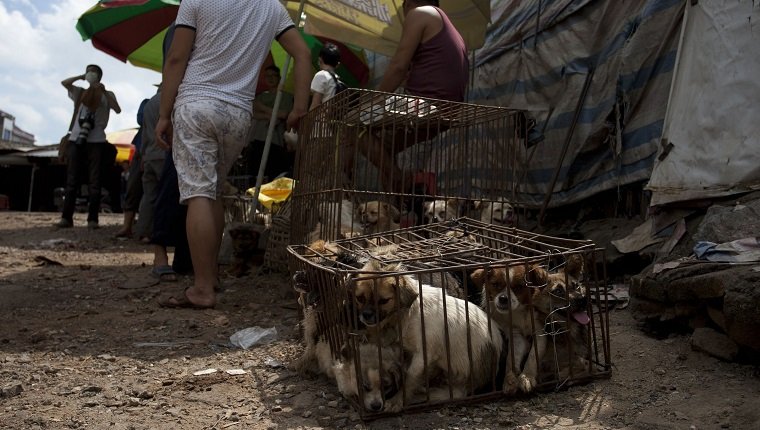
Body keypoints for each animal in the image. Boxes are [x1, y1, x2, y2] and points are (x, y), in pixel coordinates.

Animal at [472, 254, 592, 394]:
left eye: (576, 286)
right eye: (496, 284)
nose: (582, 300)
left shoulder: (540, 334)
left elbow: (533, 357)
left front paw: (527, 377)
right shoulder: (517, 336)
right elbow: (511, 359)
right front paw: (510, 378)